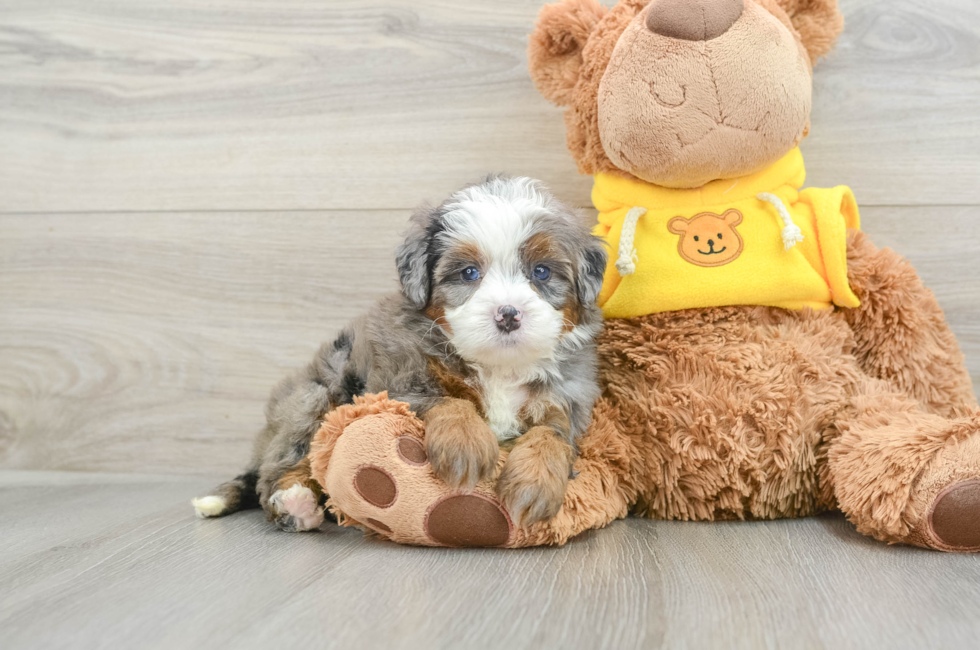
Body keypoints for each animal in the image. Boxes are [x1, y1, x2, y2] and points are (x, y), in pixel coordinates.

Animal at [191, 175, 604, 528]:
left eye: (541, 272)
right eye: (469, 273)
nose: (507, 315)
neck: (498, 368)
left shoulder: (564, 400)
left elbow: (551, 436)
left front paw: (535, 483)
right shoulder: (397, 382)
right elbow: (449, 400)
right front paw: (466, 445)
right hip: (314, 395)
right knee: (277, 467)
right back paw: (295, 501)